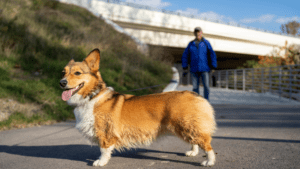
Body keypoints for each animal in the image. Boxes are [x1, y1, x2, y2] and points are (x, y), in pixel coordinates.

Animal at [59, 48, 216, 166]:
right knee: (195, 141)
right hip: (186, 128)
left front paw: (100, 162)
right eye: (63, 72)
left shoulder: (105, 133)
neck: (91, 96)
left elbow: (104, 150)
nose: (61, 82)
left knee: (207, 144)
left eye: (77, 73)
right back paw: (193, 152)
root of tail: (194, 94)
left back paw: (209, 161)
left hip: (187, 125)